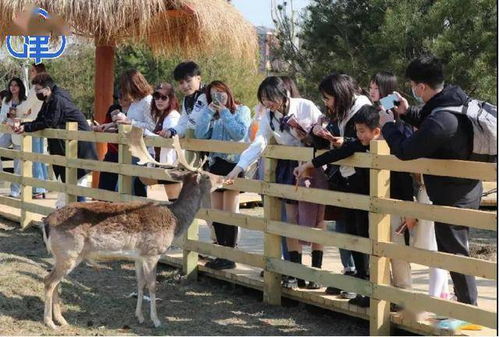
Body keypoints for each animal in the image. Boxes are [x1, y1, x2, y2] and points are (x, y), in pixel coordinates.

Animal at [41, 128, 225, 328]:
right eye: (207, 175)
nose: (224, 178)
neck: (175, 220)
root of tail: (46, 221)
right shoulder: (153, 252)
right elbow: (152, 285)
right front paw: (156, 320)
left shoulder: (138, 256)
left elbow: (139, 284)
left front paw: (139, 316)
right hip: (69, 253)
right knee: (49, 282)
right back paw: (50, 322)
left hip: (63, 255)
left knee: (56, 282)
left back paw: (61, 319)